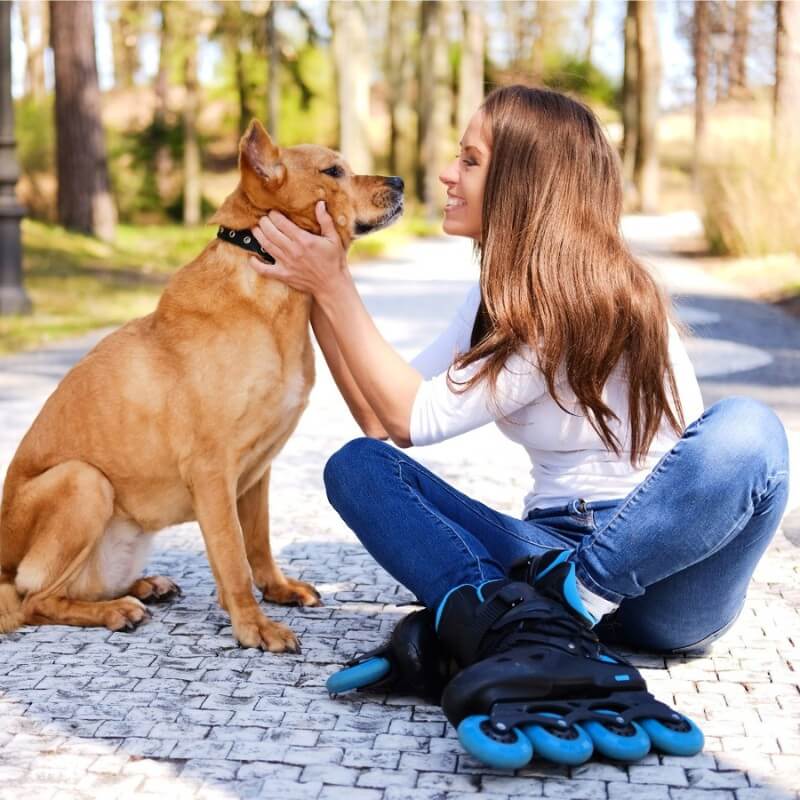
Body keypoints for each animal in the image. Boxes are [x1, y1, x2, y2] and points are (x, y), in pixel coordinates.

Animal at [0, 122, 400, 652]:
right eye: (334, 171)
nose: (400, 182)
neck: (268, 293)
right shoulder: (213, 471)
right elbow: (232, 557)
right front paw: (253, 626)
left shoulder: (257, 471)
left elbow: (258, 543)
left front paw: (277, 591)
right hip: (82, 480)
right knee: (36, 601)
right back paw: (114, 611)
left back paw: (144, 585)